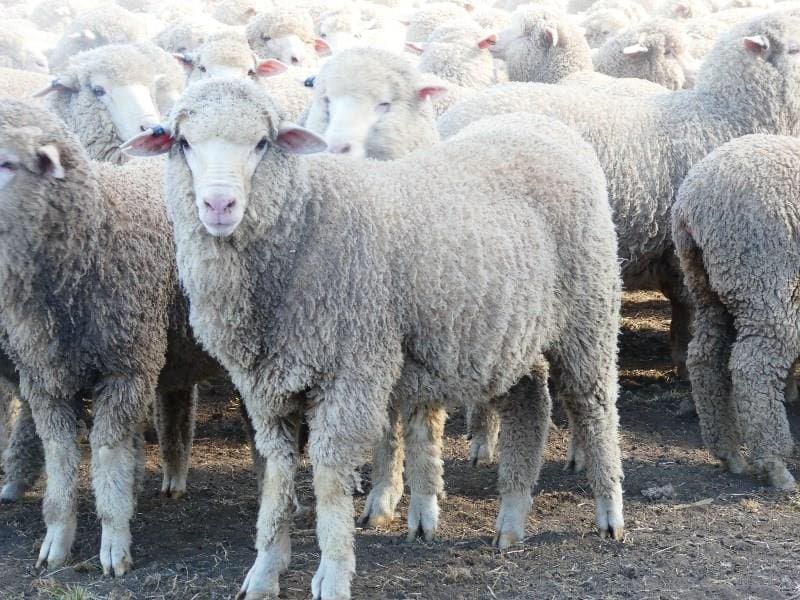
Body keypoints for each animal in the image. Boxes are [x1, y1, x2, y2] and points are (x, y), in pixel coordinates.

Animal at [0, 99, 221, 575]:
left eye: (7, 163)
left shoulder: (126, 372)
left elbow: (107, 457)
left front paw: (114, 545)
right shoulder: (46, 382)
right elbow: (61, 461)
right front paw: (56, 542)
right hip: (174, 346)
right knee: (178, 403)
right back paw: (174, 475)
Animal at [123, 78, 625, 600]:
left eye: (262, 143)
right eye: (183, 143)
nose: (219, 206)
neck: (302, 227)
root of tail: (546, 124)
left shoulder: (351, 374)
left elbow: (328, 480)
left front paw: (332, 573)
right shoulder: (268, 391)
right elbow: (277, 481)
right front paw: (263, 571)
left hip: (589, 313)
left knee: (594, 406)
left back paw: (610, 512)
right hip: (509, 336)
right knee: (531, 404)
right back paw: (511, 519)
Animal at [438, 12, 800, 379]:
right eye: (795, 48)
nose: (490, 39)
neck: (724, 115)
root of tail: (445, 123)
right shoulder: (683, 247)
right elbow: (687, 307)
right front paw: (682, 359)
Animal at [672, 134, 800, 491]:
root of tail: (692, 203)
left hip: (708, 285)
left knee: (706, 358)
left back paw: (728, 452)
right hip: (763, 279)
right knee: (752, 367)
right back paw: (774, 463)